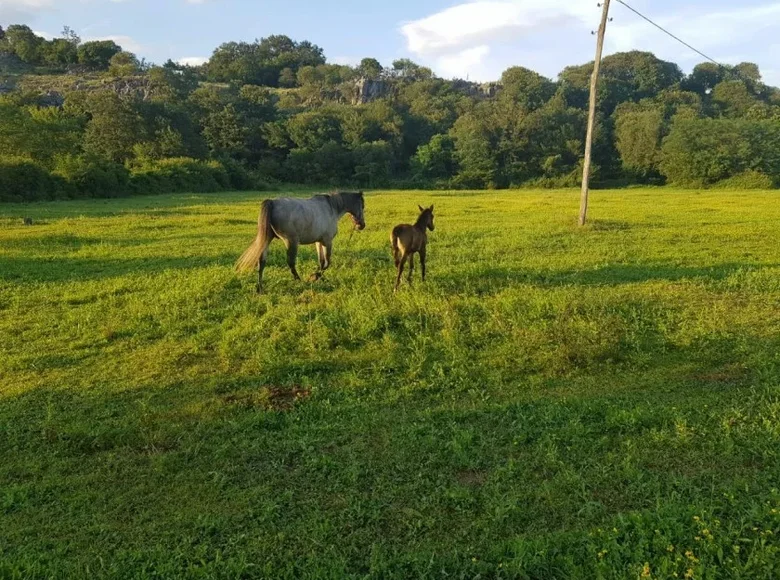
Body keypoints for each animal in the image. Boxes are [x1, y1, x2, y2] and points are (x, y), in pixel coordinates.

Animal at [235, 191, 366, 292]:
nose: (362, 225)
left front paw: (321, 278)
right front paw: (315, 276)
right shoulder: (327, 241)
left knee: (261, 262)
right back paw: (299, 280)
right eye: (363, 206)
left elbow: (321, 262)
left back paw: (260, 288)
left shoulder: (319, 242)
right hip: (291, 242)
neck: (331, 208)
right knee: (291, 263)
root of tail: (272, 202)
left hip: (267, 239)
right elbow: (327, 263)